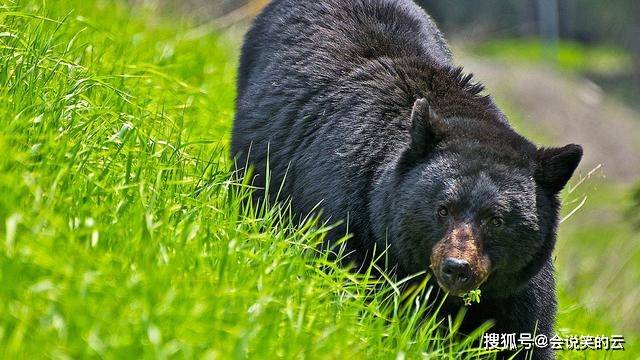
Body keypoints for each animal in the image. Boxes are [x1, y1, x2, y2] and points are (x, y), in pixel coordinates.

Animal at [232, 1, 584, 358]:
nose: (457, 268)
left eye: (496, 220)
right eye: (442, 209)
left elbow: (525, 332)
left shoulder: (517, 289)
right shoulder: (350, 219)